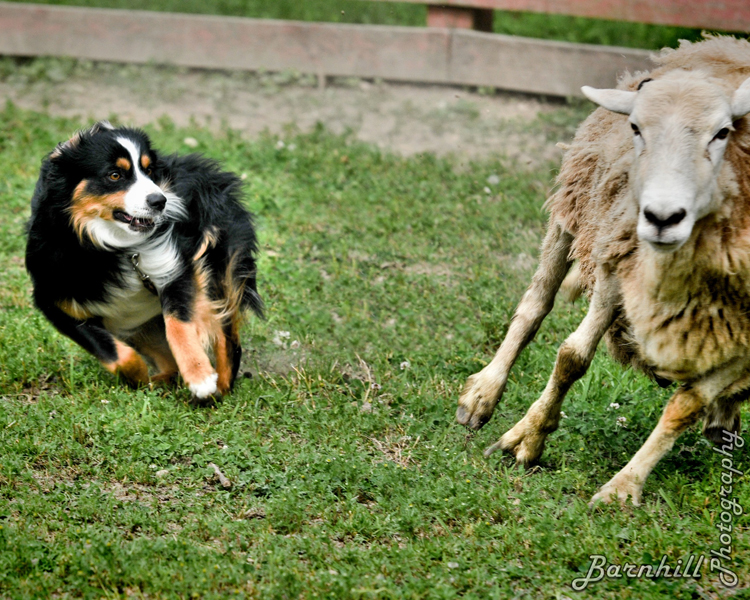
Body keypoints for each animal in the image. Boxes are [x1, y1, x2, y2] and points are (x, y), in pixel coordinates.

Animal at [26, 121, 262, 402]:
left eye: (149, 171)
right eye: (114, 175)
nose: (160, 201)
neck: (111, 246)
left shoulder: (174, 266)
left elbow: (177, 324)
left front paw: (200, 376)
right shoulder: (54, 297)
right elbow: (111, 351)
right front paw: (138, 376)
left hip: (217, 264)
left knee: (227, 336)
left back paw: (220, 386)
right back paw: (161, 381)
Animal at [456, 36, 750, 506]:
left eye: (722, 132)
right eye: (636, 129)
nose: (661, 217)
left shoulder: (744, 329)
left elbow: (687, 404)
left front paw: (622, 489)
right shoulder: (618, 258)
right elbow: (572, 356)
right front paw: (527, 439)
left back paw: (723, 420)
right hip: (574, 205)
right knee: (533, 305)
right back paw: (484, 392)